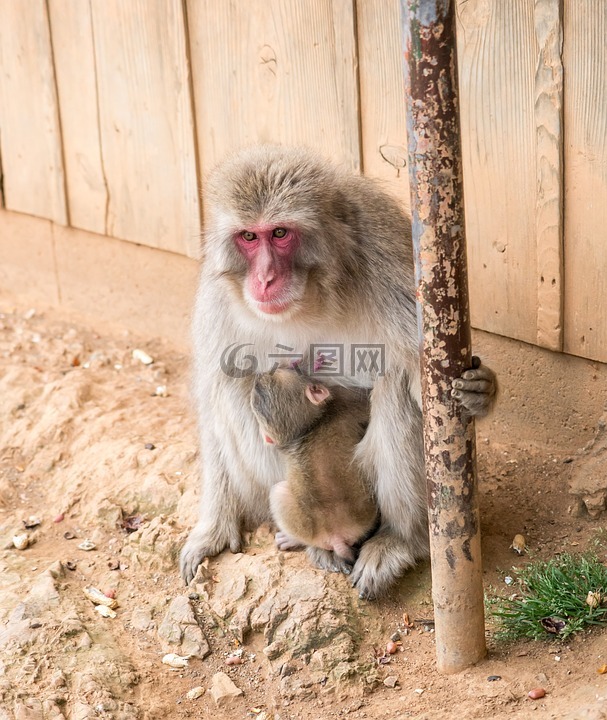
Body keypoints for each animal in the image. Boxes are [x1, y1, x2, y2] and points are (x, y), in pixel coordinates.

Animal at [249, 366, 378, 572]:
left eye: (272, 375)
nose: (258, 376)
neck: (310, 425)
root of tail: (336, 536)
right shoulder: (348, 402)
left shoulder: (346, 402)